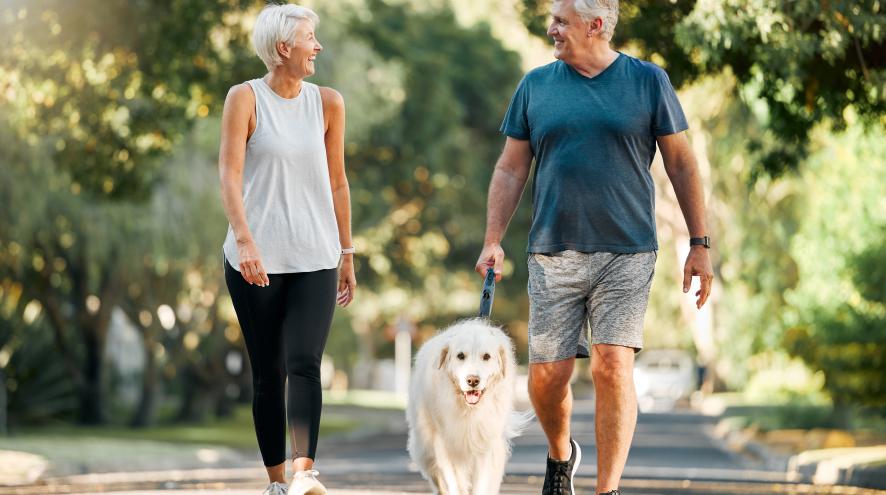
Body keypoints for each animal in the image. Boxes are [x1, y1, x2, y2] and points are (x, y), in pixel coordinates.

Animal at [406, 320, 532, 494]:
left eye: (486, 356)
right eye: (460, 356)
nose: (472, 380)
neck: (469, 410)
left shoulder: (485, 446)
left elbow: (482, 484)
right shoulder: (447, 445)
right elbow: (455, 482)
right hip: (426, 448)